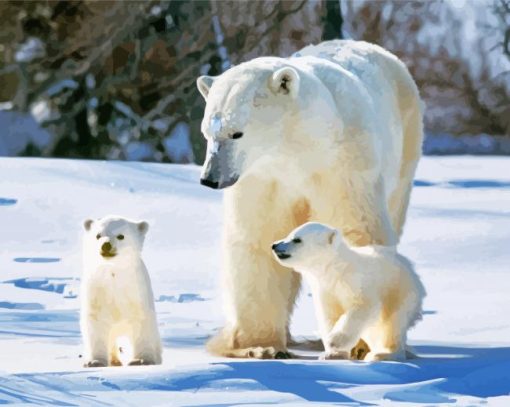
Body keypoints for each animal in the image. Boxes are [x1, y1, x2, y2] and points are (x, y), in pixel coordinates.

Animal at [80, 217, 161, 370]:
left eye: (121, 236)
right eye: (98, 235)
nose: (106, 245)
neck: (114, 271)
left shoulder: (136, 290)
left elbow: (141, 320)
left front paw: (141, 360)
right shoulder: (97, 289)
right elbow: (96, 321)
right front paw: (95, 361)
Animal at [272, 223, 424, 364]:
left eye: (297, 239)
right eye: (289, 234)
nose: (275, 245)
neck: (337, 269)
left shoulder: (358, 282)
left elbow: (363, 307)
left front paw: (335, 340)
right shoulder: (326, 290)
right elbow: (329, 316)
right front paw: (332, 354)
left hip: (400, 290)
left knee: (391, 324)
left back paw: (384, 354)